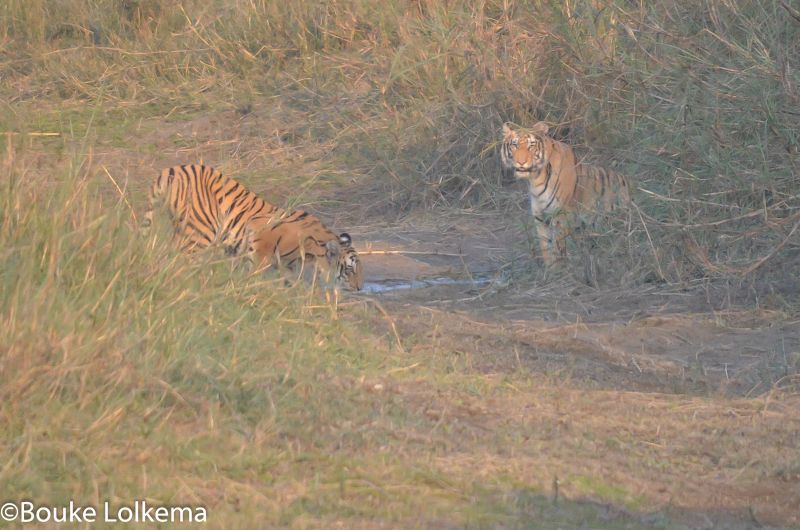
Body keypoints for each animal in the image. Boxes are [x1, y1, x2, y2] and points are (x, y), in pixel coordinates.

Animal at [144, 164, 366, 290]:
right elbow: (254, 272)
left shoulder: (286, 266)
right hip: (200, 233)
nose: (358, 288)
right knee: (181, 260)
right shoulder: (261, 246)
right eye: (349, 270)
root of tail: (171, 171)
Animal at [500, 122, 632, 264]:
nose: (521, 162)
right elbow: (547, 250)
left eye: (531, 145)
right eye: (514, 145)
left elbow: (559, 247)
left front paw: (564, 266)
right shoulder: (541, 218)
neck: (535, 180)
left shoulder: (561, 215)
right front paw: (552, 268)